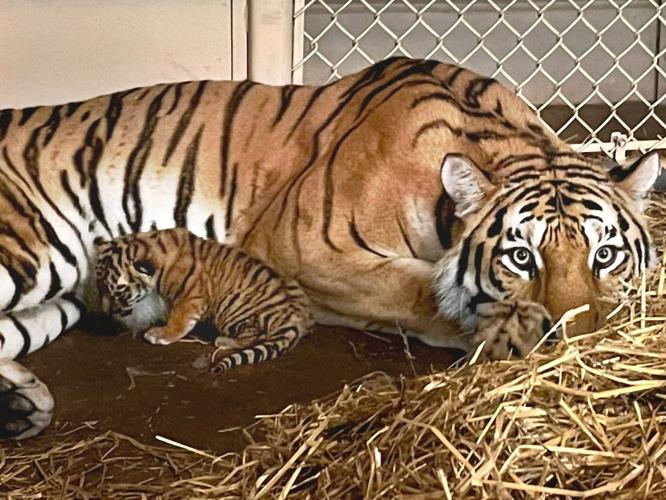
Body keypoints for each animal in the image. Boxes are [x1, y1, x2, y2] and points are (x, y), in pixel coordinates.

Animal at [94, 228, 312, 373]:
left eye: (118, 294)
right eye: (99, 289)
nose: (106, 313)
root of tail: (293, 315)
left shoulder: (190, 298)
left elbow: (178, 320)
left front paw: (160, 334)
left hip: (230, 309)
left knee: (255, 335)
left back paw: (224, 340)